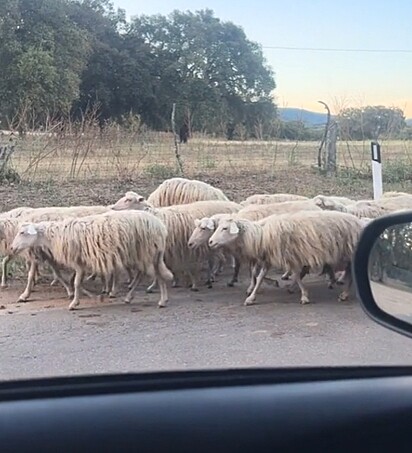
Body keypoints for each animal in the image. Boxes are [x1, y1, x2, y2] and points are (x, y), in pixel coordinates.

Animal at [10, 210, 172, 308]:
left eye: (22, 232)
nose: (12, 248)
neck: (56, 235)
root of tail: (160, 226)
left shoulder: (77, 261)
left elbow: (76, 283)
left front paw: (74, 303)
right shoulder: (81, 263)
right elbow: (76, 282)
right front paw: (86, 296)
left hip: (148, 252)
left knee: (156, 274)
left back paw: (162, 300)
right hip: (139, 254)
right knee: (141, 274)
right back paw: (129, 297)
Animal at [208, 210, 362, 306]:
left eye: (225, 228)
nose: (210, 242)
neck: (260, 235)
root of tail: (358, 223)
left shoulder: (291, 256)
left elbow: (297, 276)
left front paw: (304, 296)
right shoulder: (268, 258)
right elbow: (260, 278)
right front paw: (251, 298)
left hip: (348, 253)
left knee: (351, 272)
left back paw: (344, 294)